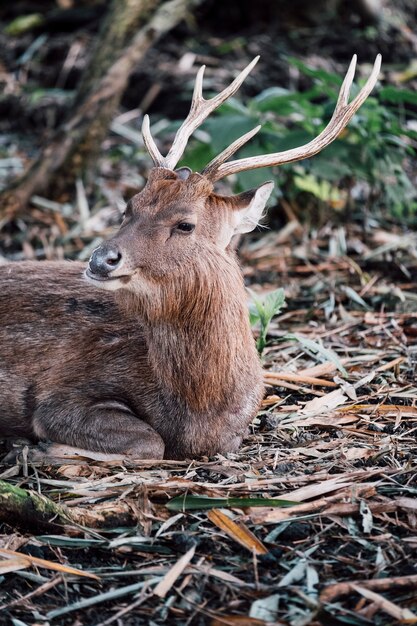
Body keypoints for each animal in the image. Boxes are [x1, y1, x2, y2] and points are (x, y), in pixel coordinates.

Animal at [0, 54, 380, 458]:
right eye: (128, 207)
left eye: (185, 224)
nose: (100, 259)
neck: (198, 413)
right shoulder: (61, 393)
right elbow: (150, 441)